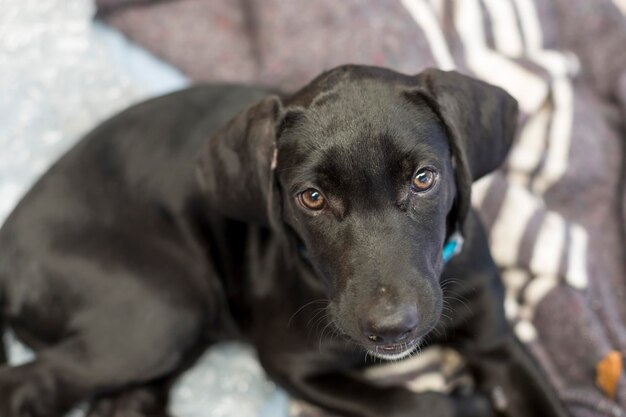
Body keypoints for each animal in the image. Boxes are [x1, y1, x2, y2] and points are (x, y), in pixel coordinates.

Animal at [0, 66, 564, 416]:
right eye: (311, 197)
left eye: (424, 179)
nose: (390, 328)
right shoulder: (290, 362)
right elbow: (408, 403)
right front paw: (467, 403)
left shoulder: (496, 341)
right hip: (162, 312)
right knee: (28, 386)